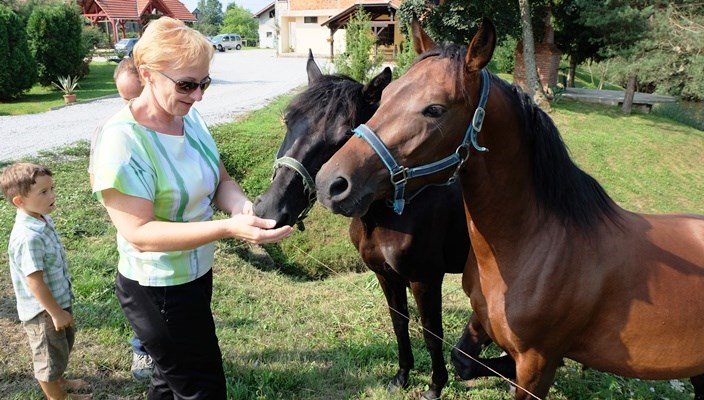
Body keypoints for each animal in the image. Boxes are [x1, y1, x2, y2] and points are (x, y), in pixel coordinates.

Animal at [256, 51, 516, 398]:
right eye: (288, 119)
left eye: (344, 135)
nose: (270, 209)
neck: (394, 212)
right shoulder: (385, 275)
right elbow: (399, 323)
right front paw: (402, 376)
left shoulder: (424, 278)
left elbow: (431, 331)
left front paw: (435, 384)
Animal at [316, 17, 704, 400]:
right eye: (386, 96)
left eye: (435, 109)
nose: (330, 183)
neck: (537, 246)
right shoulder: (480, 320)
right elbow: (462, 360)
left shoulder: (536, 364)